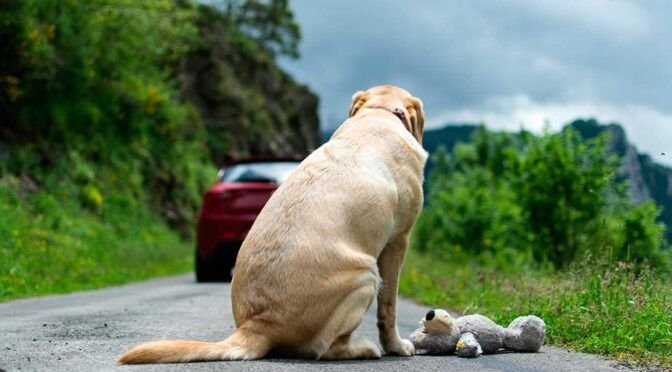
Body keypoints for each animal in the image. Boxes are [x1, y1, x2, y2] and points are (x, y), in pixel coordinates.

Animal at [118, 85, 428, 364]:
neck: (378, 113)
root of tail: (258, 325)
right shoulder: (398, 241)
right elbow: (389, 308)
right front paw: (397, 346)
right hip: (366, 275)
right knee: (325, 349)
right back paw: (364, 348)